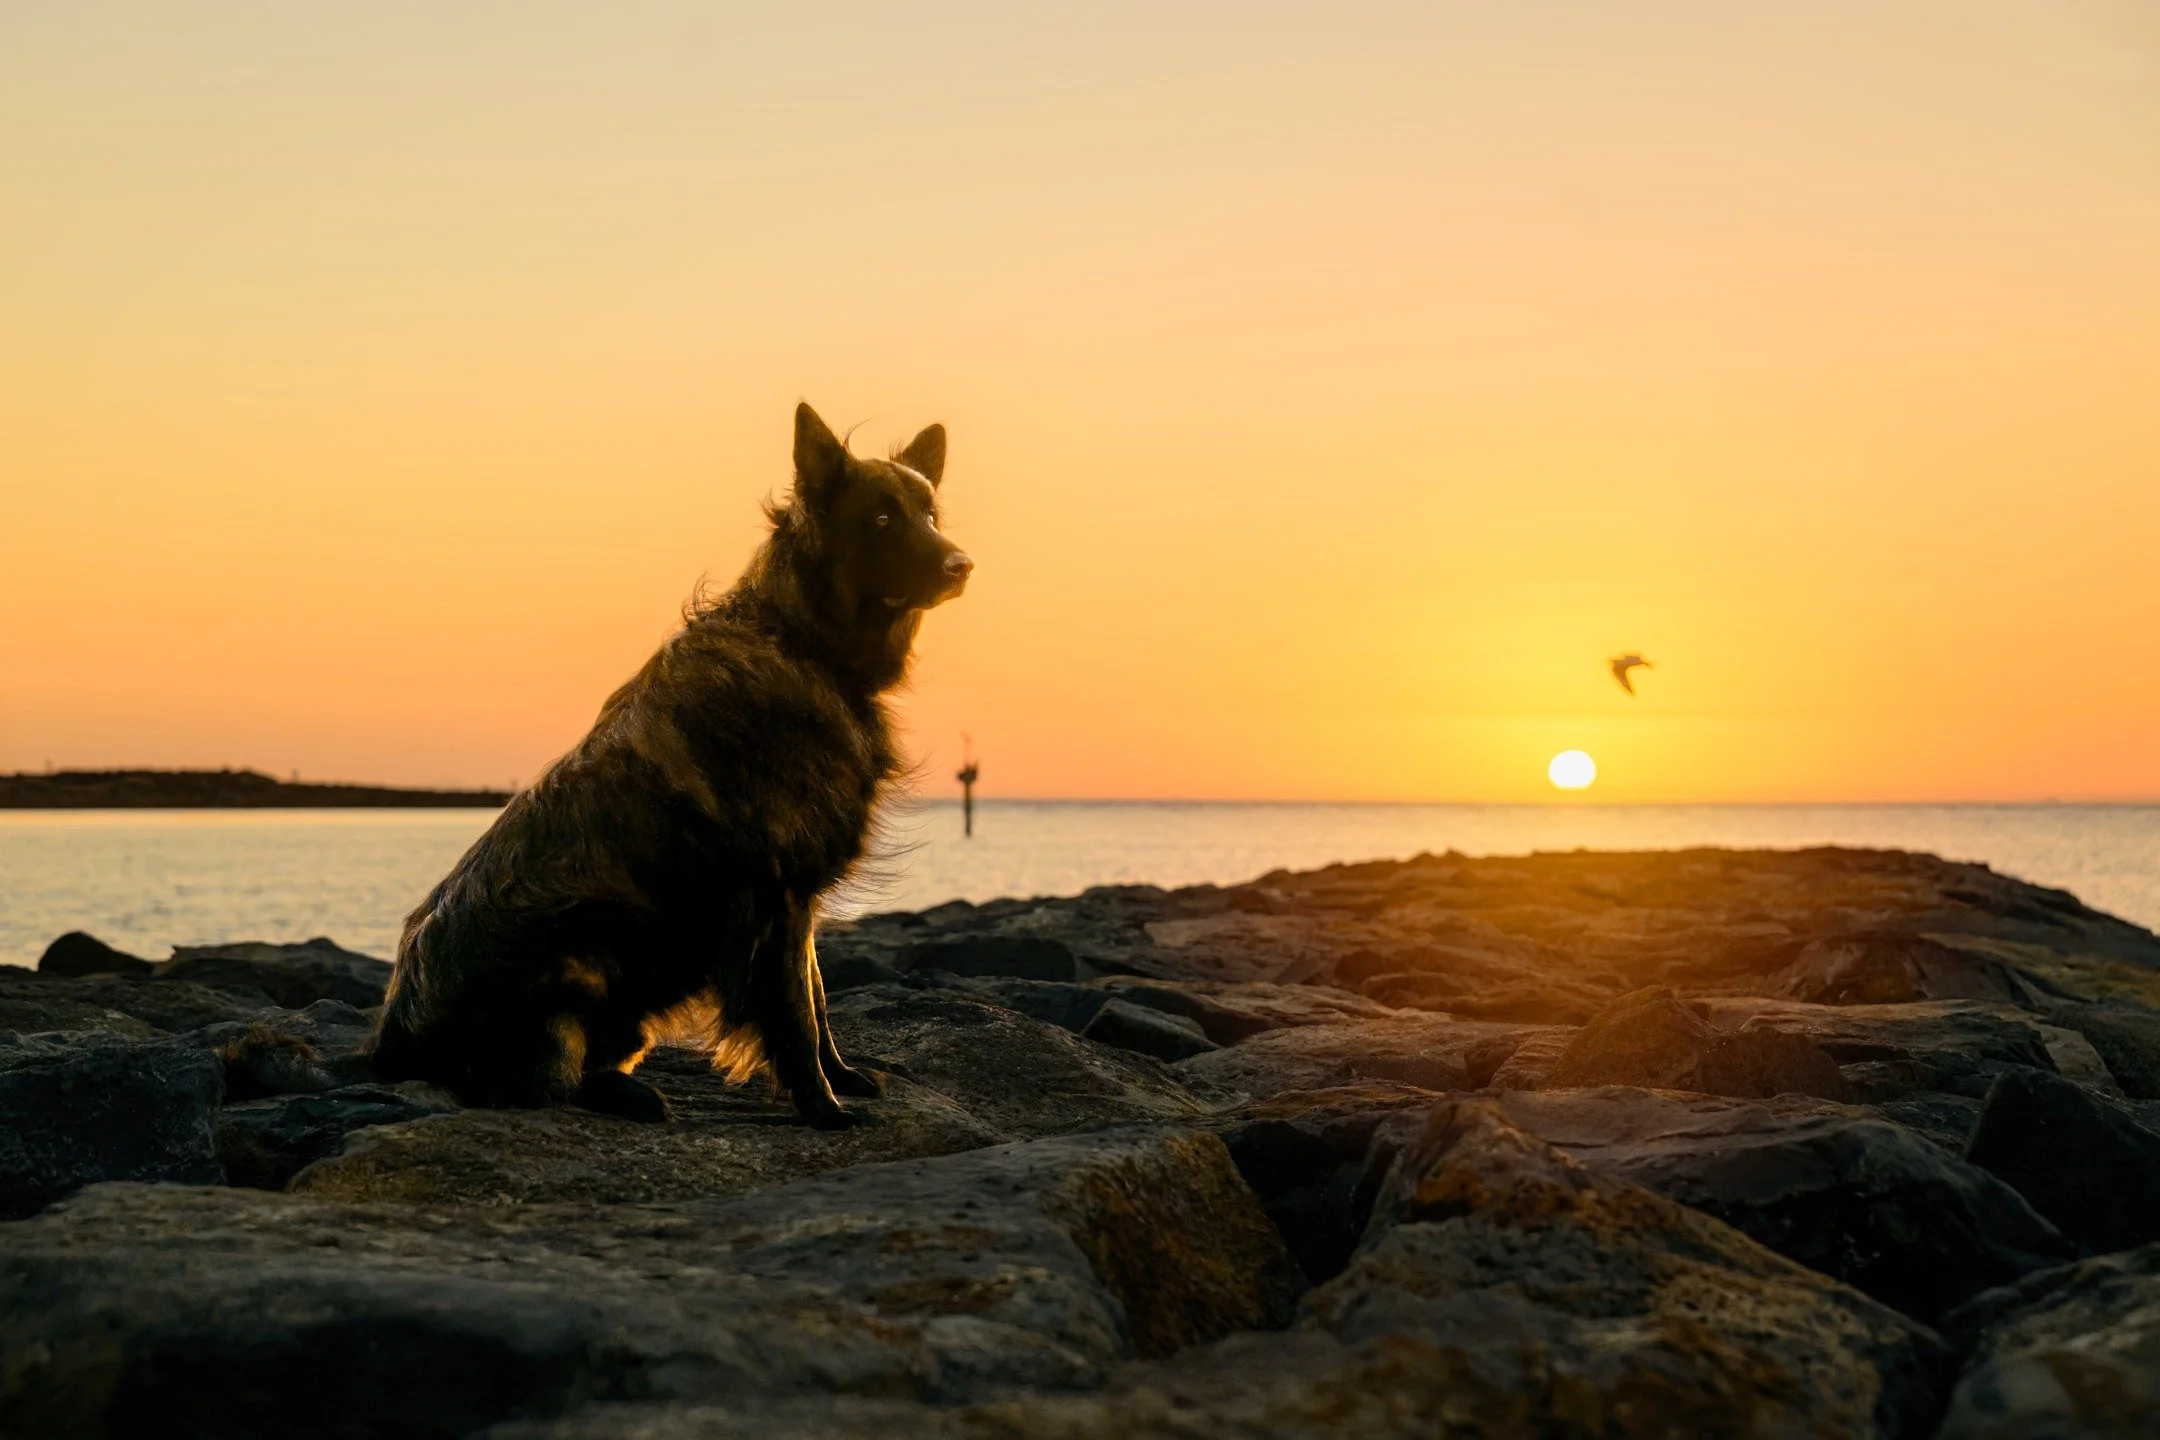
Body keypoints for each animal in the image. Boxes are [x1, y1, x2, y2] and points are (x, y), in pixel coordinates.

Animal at [368, 403, 972, 1128]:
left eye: (930, 515)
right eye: (881, 519)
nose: (962, 565)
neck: (798, 639)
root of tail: (390, 1044)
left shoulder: (796, 905)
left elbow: (819, 997)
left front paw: (842, 1079)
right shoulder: (778, 894)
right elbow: (797, 1012)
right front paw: (822, 1107)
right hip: (583, 957)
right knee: (546, 1086)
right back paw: (629, 1097)